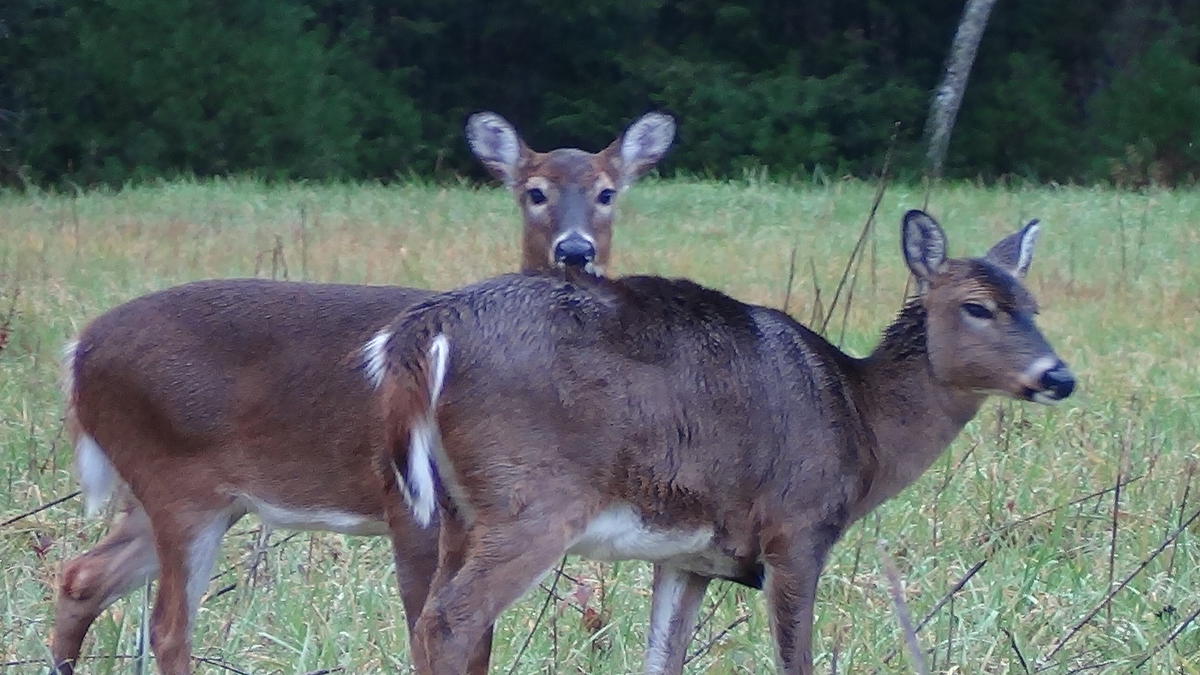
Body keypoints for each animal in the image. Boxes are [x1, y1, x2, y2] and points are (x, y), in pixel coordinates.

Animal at [51, 110, 676, 672]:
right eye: (535, 192)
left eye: (607, 192)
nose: (575, 251)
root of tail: (78, 351)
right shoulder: (411, 506)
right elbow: (432, 633)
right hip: (177, 481)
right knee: (168, 627)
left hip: (186, 494)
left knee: (82, 576)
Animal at [376, 207, 1080, 667]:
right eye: (976, 306)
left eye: (1033, 306)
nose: (1059, 376)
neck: (861, 420)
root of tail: (431, 325)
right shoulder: (798, 529)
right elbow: (796, 660)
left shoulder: (689, 558)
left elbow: (663, 658)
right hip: (533, 498)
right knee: (451, 620)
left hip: (459, 509)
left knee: (433, 617)